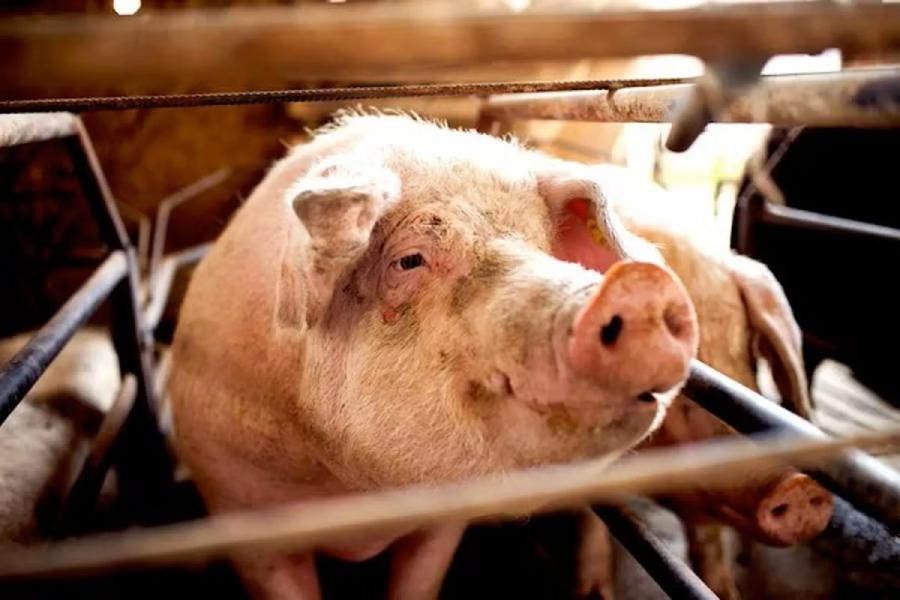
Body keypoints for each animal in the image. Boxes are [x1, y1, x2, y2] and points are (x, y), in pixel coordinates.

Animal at [169, 111, 700, 599]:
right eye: (409, 260)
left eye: (540, 245)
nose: (638, 288)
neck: (355, 493)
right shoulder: (241, 512)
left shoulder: (442, 521)